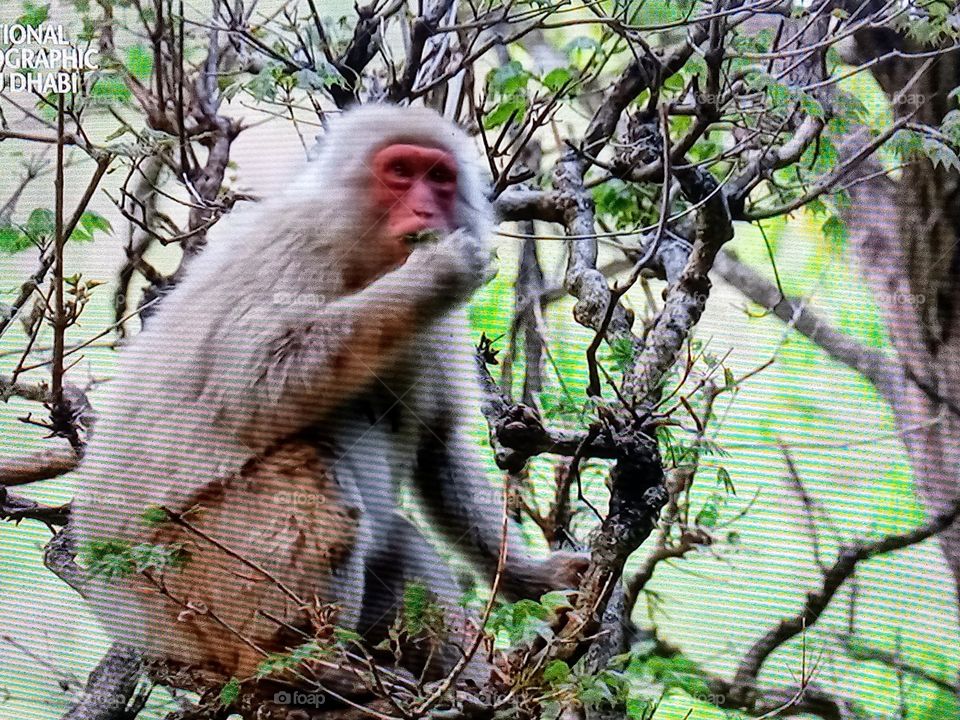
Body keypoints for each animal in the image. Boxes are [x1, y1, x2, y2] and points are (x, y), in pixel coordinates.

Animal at [71, 104, 587, 686]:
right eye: (401, 172)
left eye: (439, 177)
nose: (425, 207)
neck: (368, 262)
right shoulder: (295, 247)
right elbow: (256, 383)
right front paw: (435, 274)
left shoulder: (439, 331)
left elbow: (438, 445)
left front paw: (535, 579)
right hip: (189, 580)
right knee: (311, 468)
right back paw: (301, 662)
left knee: (399, 539)